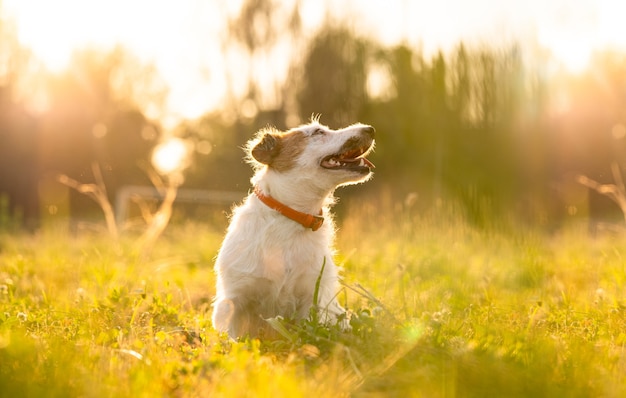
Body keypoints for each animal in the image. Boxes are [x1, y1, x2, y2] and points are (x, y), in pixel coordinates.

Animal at [210, 118, 376, 338]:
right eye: (317, 132)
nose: (371, 129)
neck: (290, 219)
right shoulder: (233, 300)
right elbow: (232, 337)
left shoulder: (314, 298)